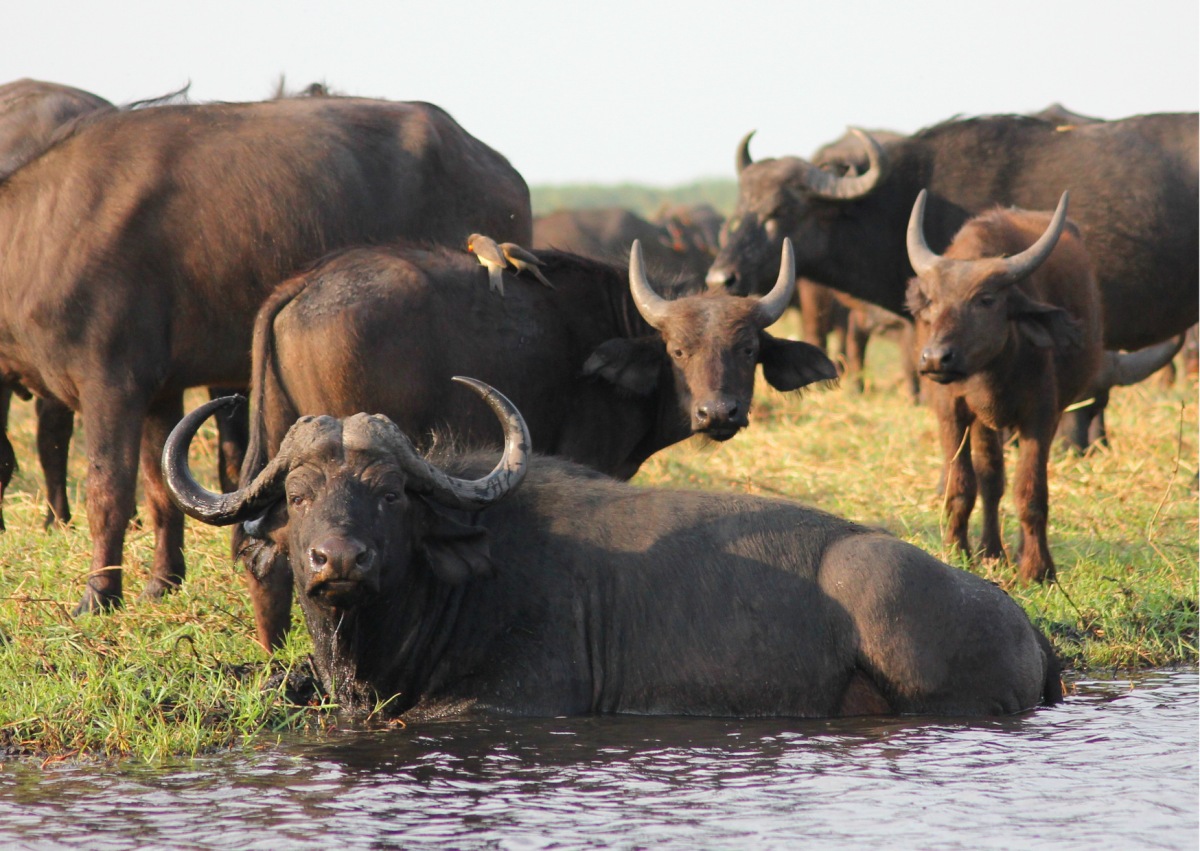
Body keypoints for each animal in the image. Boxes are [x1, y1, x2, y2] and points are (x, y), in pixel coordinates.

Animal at [0, 93, 530, 609]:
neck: (36, 234)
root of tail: (497, 165)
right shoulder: (160, 392)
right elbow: (161, 491)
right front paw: (161, 583)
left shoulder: (112, 384)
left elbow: (107, 491)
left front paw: (99, 595)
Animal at [902, 189, 1099, 580]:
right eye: (932, 301)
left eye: (986, 300)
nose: (935, 359)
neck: (992, 371)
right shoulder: (951, 411)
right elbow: (962, 486)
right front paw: (957, 552)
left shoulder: (1041, 415)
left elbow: (1031, 492)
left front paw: (1038, 569)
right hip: (983, 422)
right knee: (991, 480)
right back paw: (992, 552)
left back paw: (1016, 554)